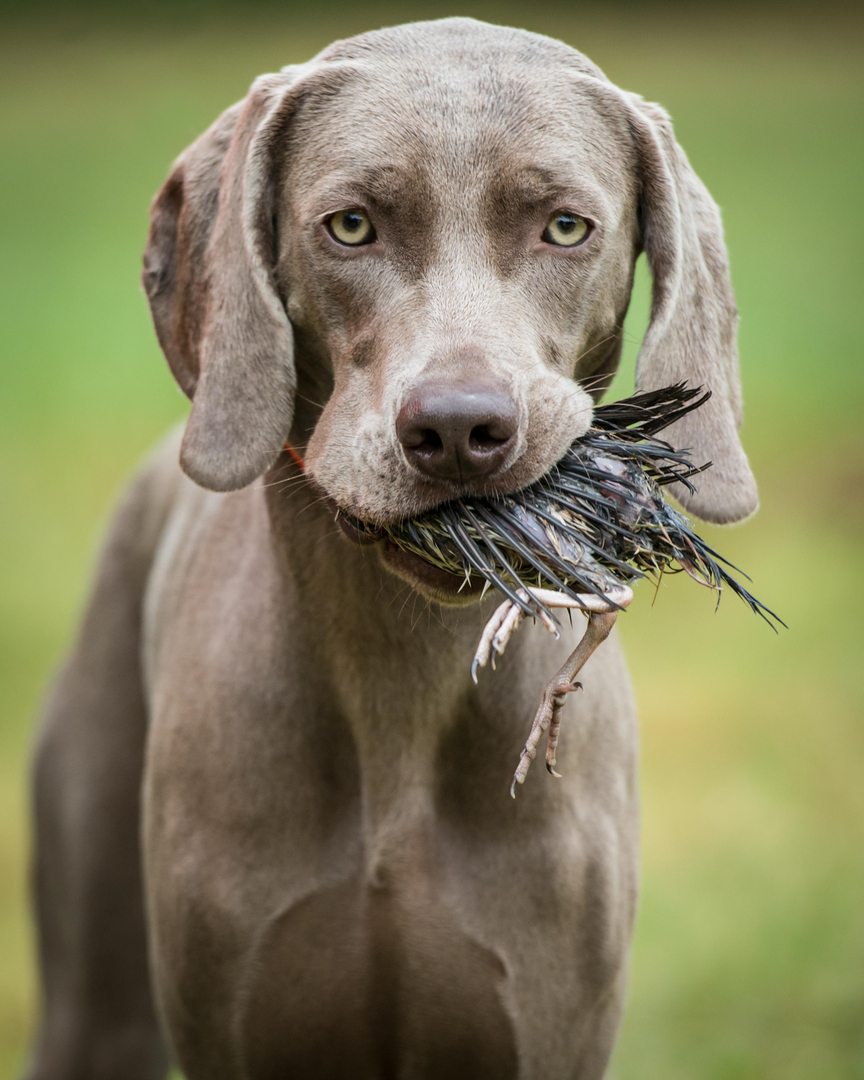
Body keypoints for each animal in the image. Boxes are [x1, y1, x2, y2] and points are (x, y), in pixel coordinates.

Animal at [25, 16, 756, 1080]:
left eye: (565, 228)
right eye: (351, 226)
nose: (457, 429)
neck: (398, 679)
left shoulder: (548, 1026)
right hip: (96, 988)